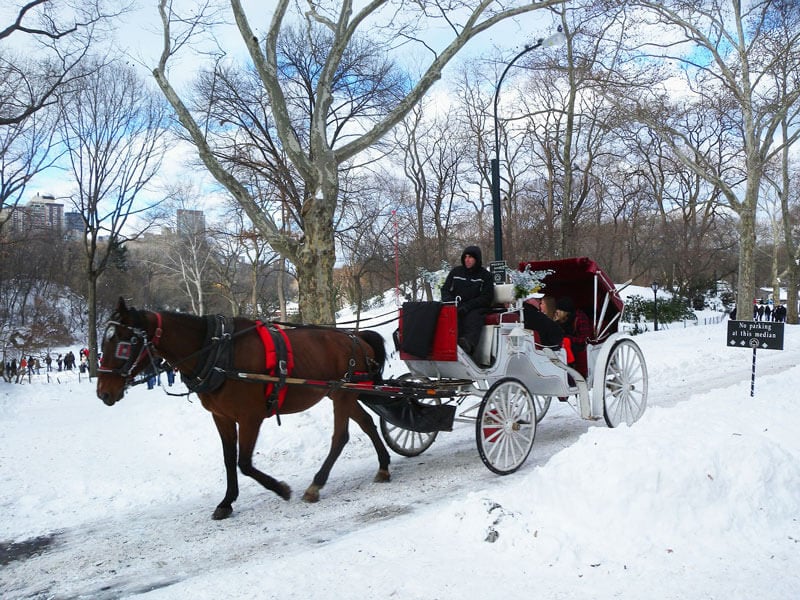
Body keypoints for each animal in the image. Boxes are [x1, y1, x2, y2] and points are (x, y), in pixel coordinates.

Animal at [95, 298, 392, 516]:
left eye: (123, 342)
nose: (103, 393)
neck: (217, 352)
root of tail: (356, 337)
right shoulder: (222, 417)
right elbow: (229, 460)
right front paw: (226, 501)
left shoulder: (250, 417)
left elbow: (245, 463)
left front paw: (281, 489)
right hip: (342, 393)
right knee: (367, 423)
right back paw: (383, 466)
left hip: (342, 394)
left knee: (340, 436)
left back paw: (316, 484)